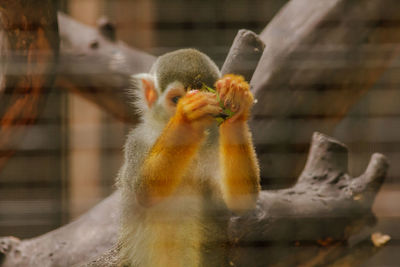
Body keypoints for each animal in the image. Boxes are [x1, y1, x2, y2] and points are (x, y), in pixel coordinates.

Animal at [116, 49, 260, 266]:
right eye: (175, 100)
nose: (184, 105)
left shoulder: (213, 144)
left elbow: (241, 199)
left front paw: (235, 101)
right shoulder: (138, 140)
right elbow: (145, 190)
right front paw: (187, 117)